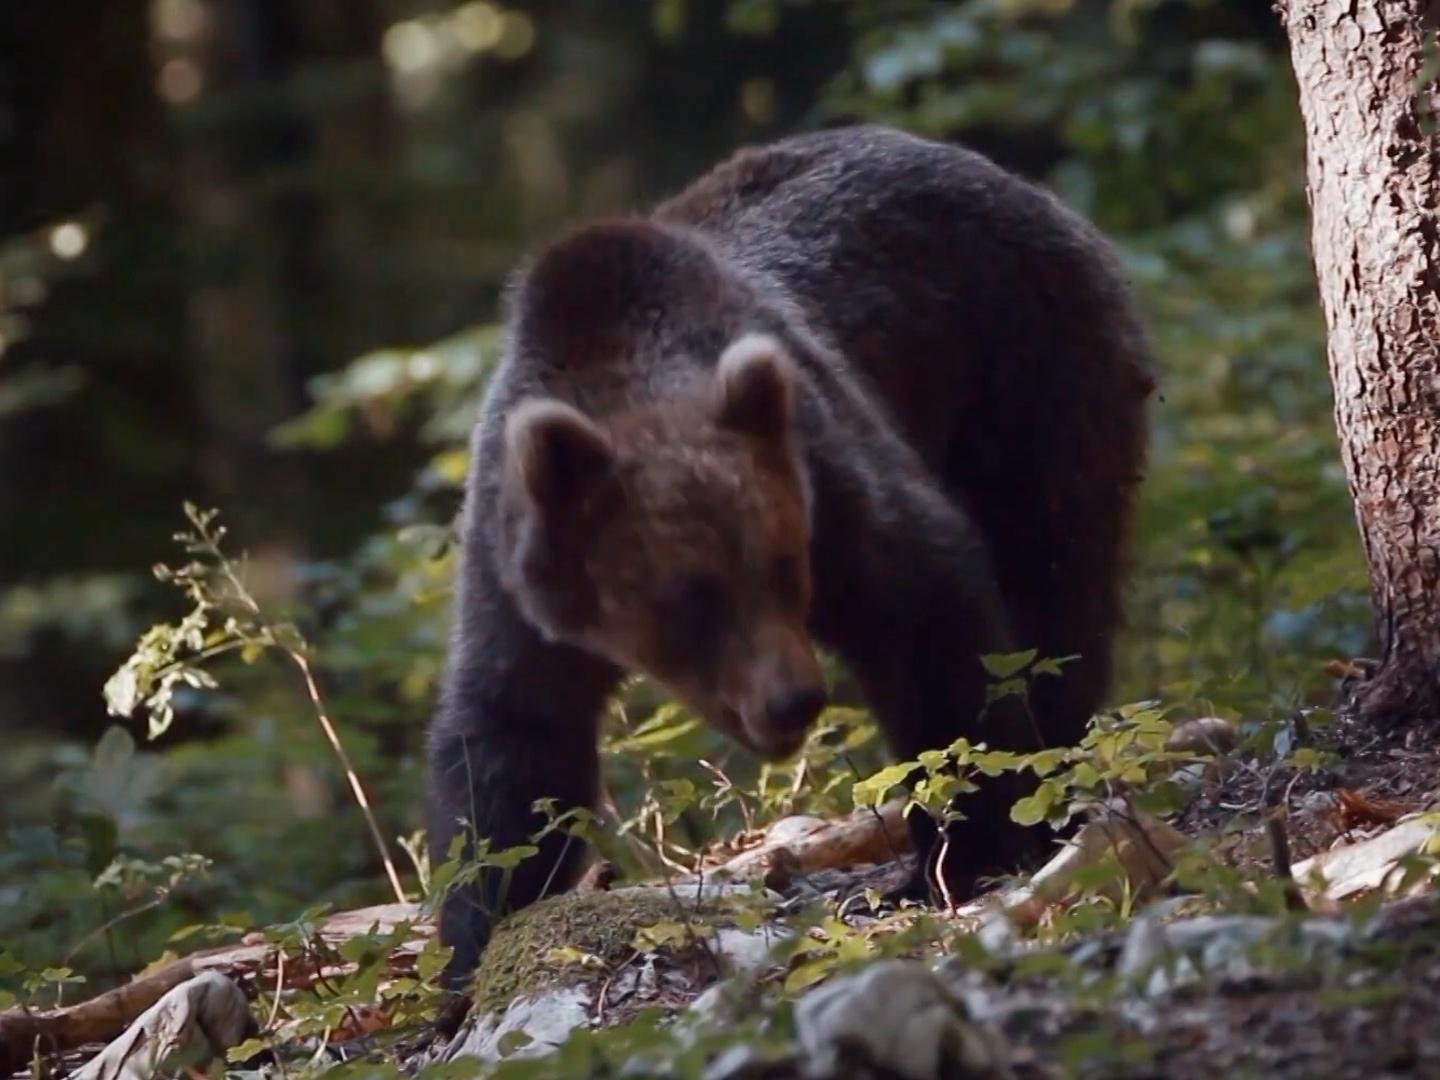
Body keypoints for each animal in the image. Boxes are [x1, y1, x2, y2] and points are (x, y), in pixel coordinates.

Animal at [420, 124, 1152, 979]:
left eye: (781, 566)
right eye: (689, 600)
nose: (792, 698)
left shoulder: (828, 476)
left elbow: (931, 623)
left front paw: (970, 847)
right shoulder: (520, 583)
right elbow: (510, 751)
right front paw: (473, 942)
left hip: (1030, 373)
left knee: (1054, 582)